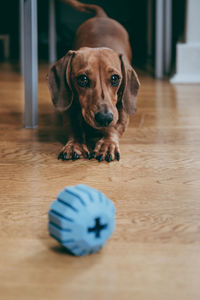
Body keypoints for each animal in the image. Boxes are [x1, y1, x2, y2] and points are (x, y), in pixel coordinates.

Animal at [46, 0, 139, 162]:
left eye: (115, 79)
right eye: (82, 79)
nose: (104, 118)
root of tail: (102, 16)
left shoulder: (121, 110)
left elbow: (115, 126)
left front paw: (107, 144)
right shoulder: (70, 108)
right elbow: (74, 126)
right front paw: (75, 145)